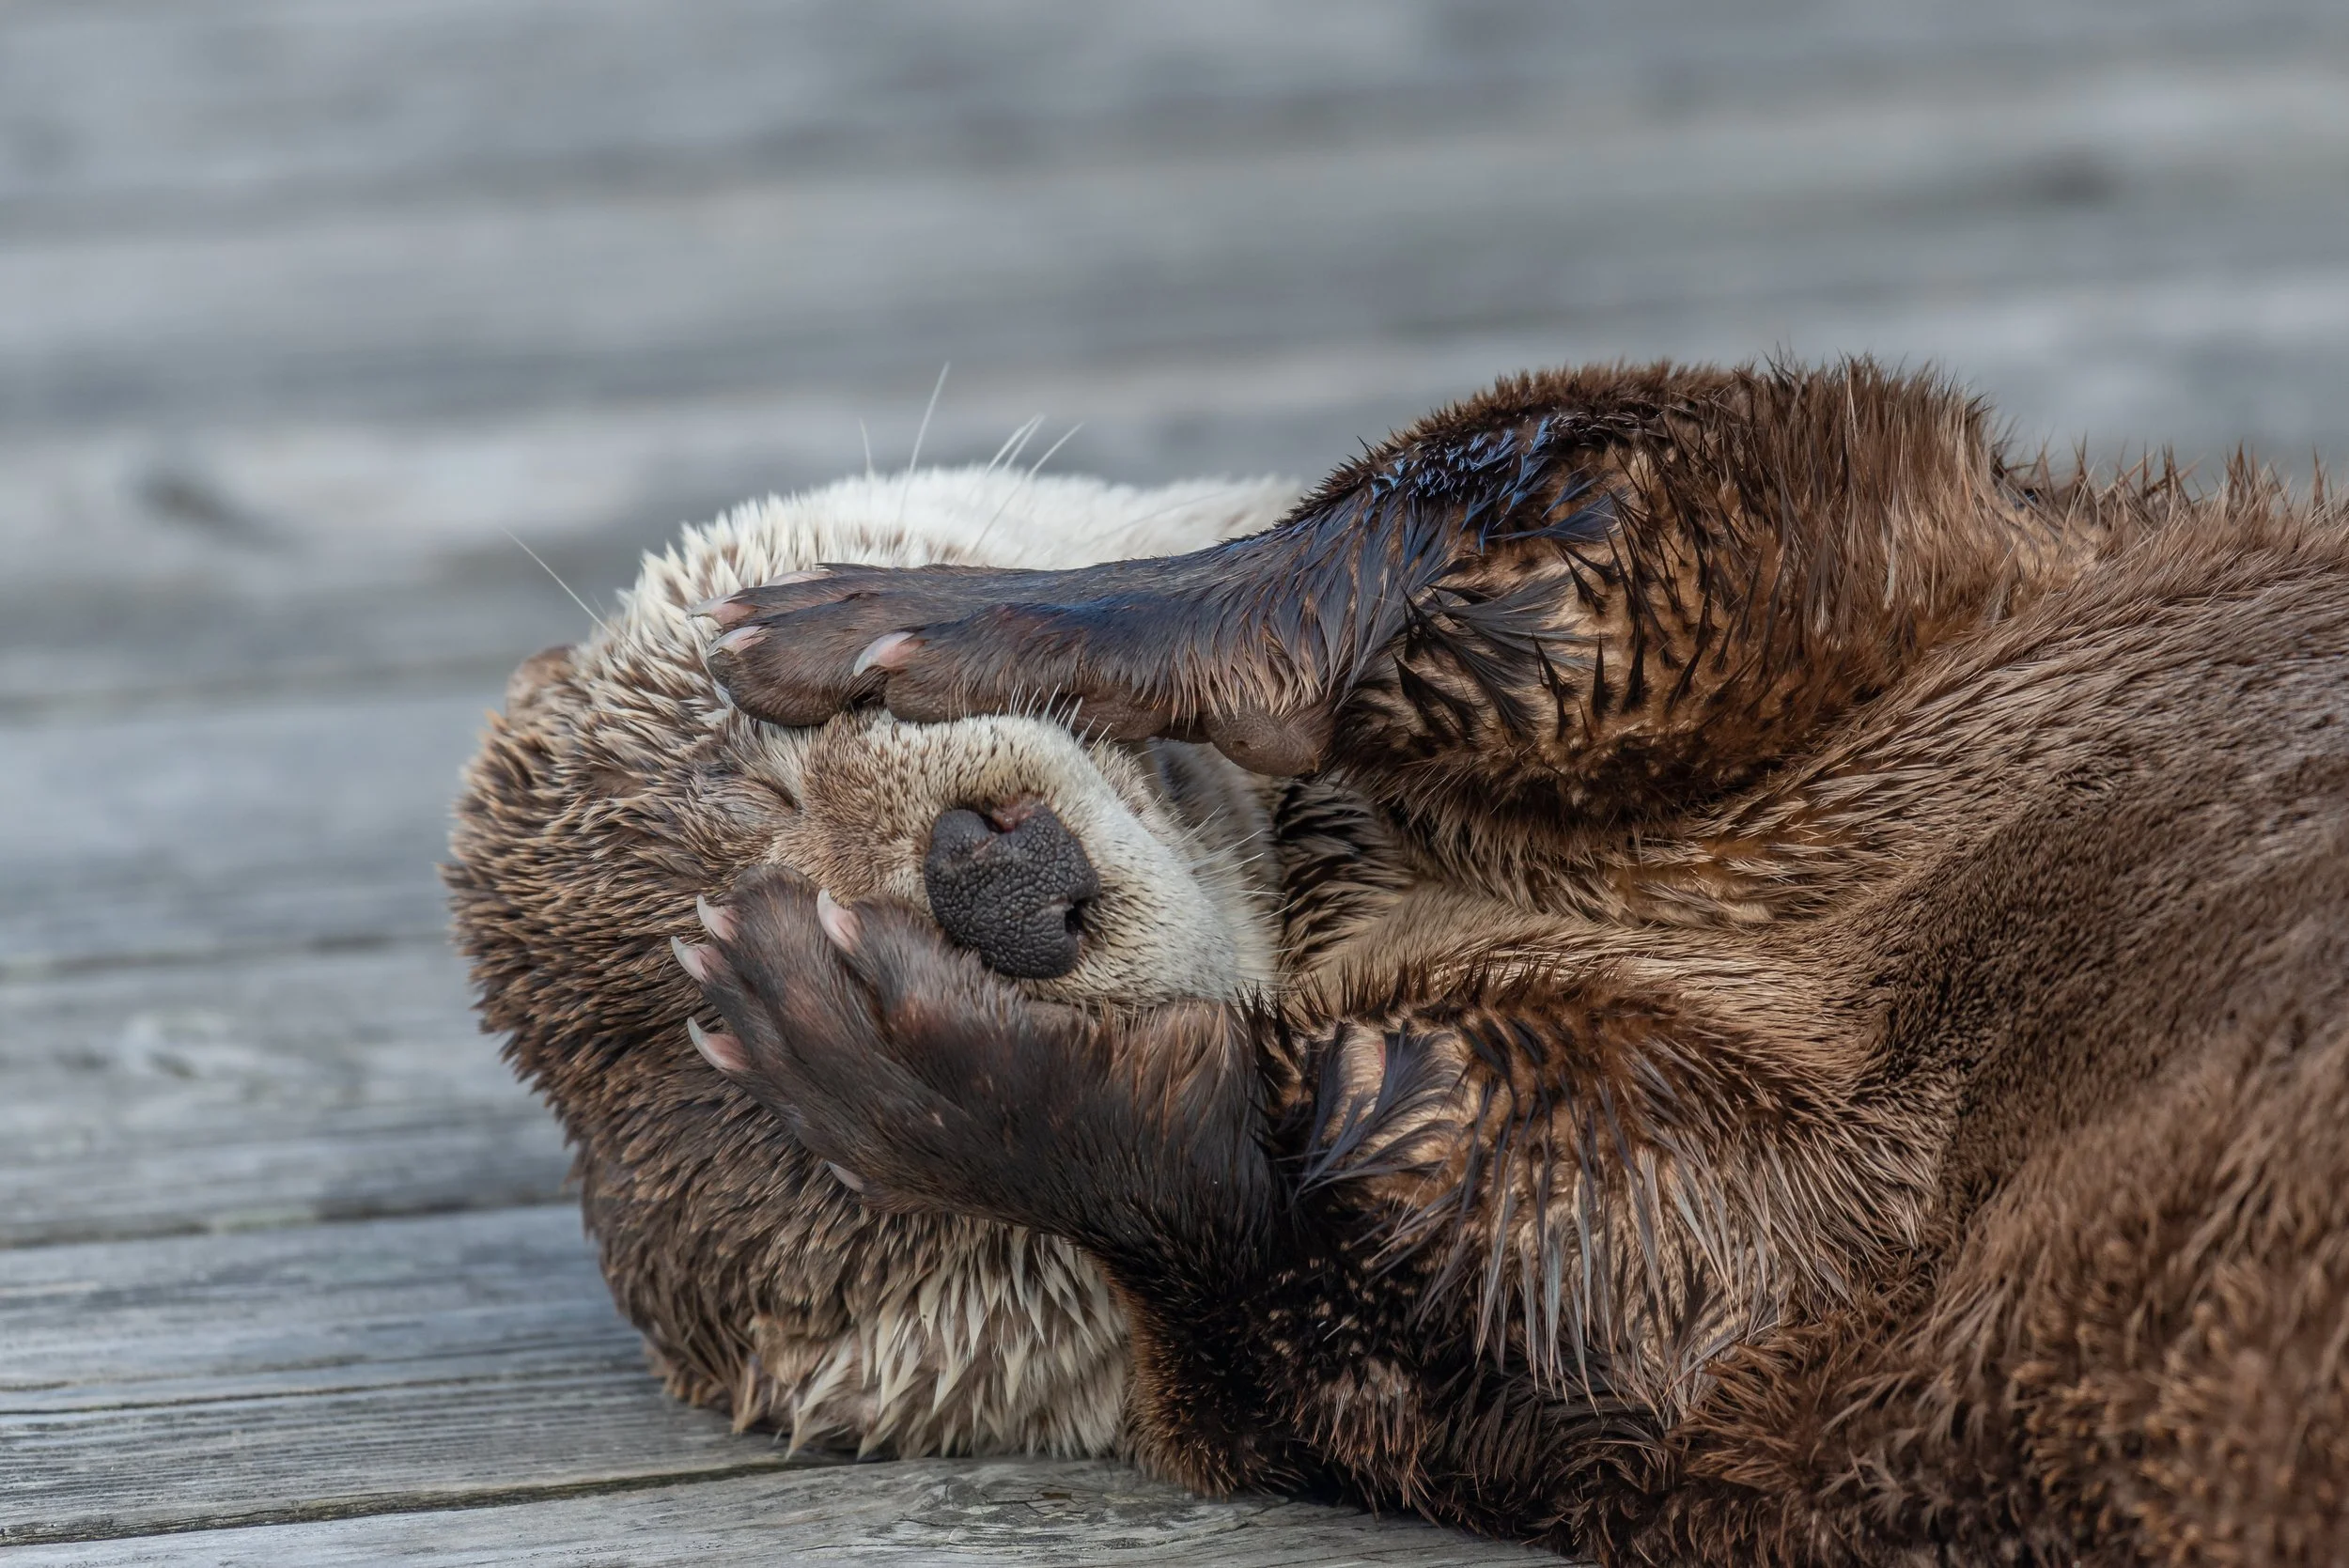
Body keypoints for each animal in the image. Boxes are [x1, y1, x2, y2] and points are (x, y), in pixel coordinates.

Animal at [453, 360, 2348, 1564]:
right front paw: (891, 1062)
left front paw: (921, 622)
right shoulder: (1754, 1352)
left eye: (766, 771)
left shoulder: (1954, 547)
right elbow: (1544, 1269)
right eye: (813, 1185)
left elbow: (1608, 485)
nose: (996, 889)